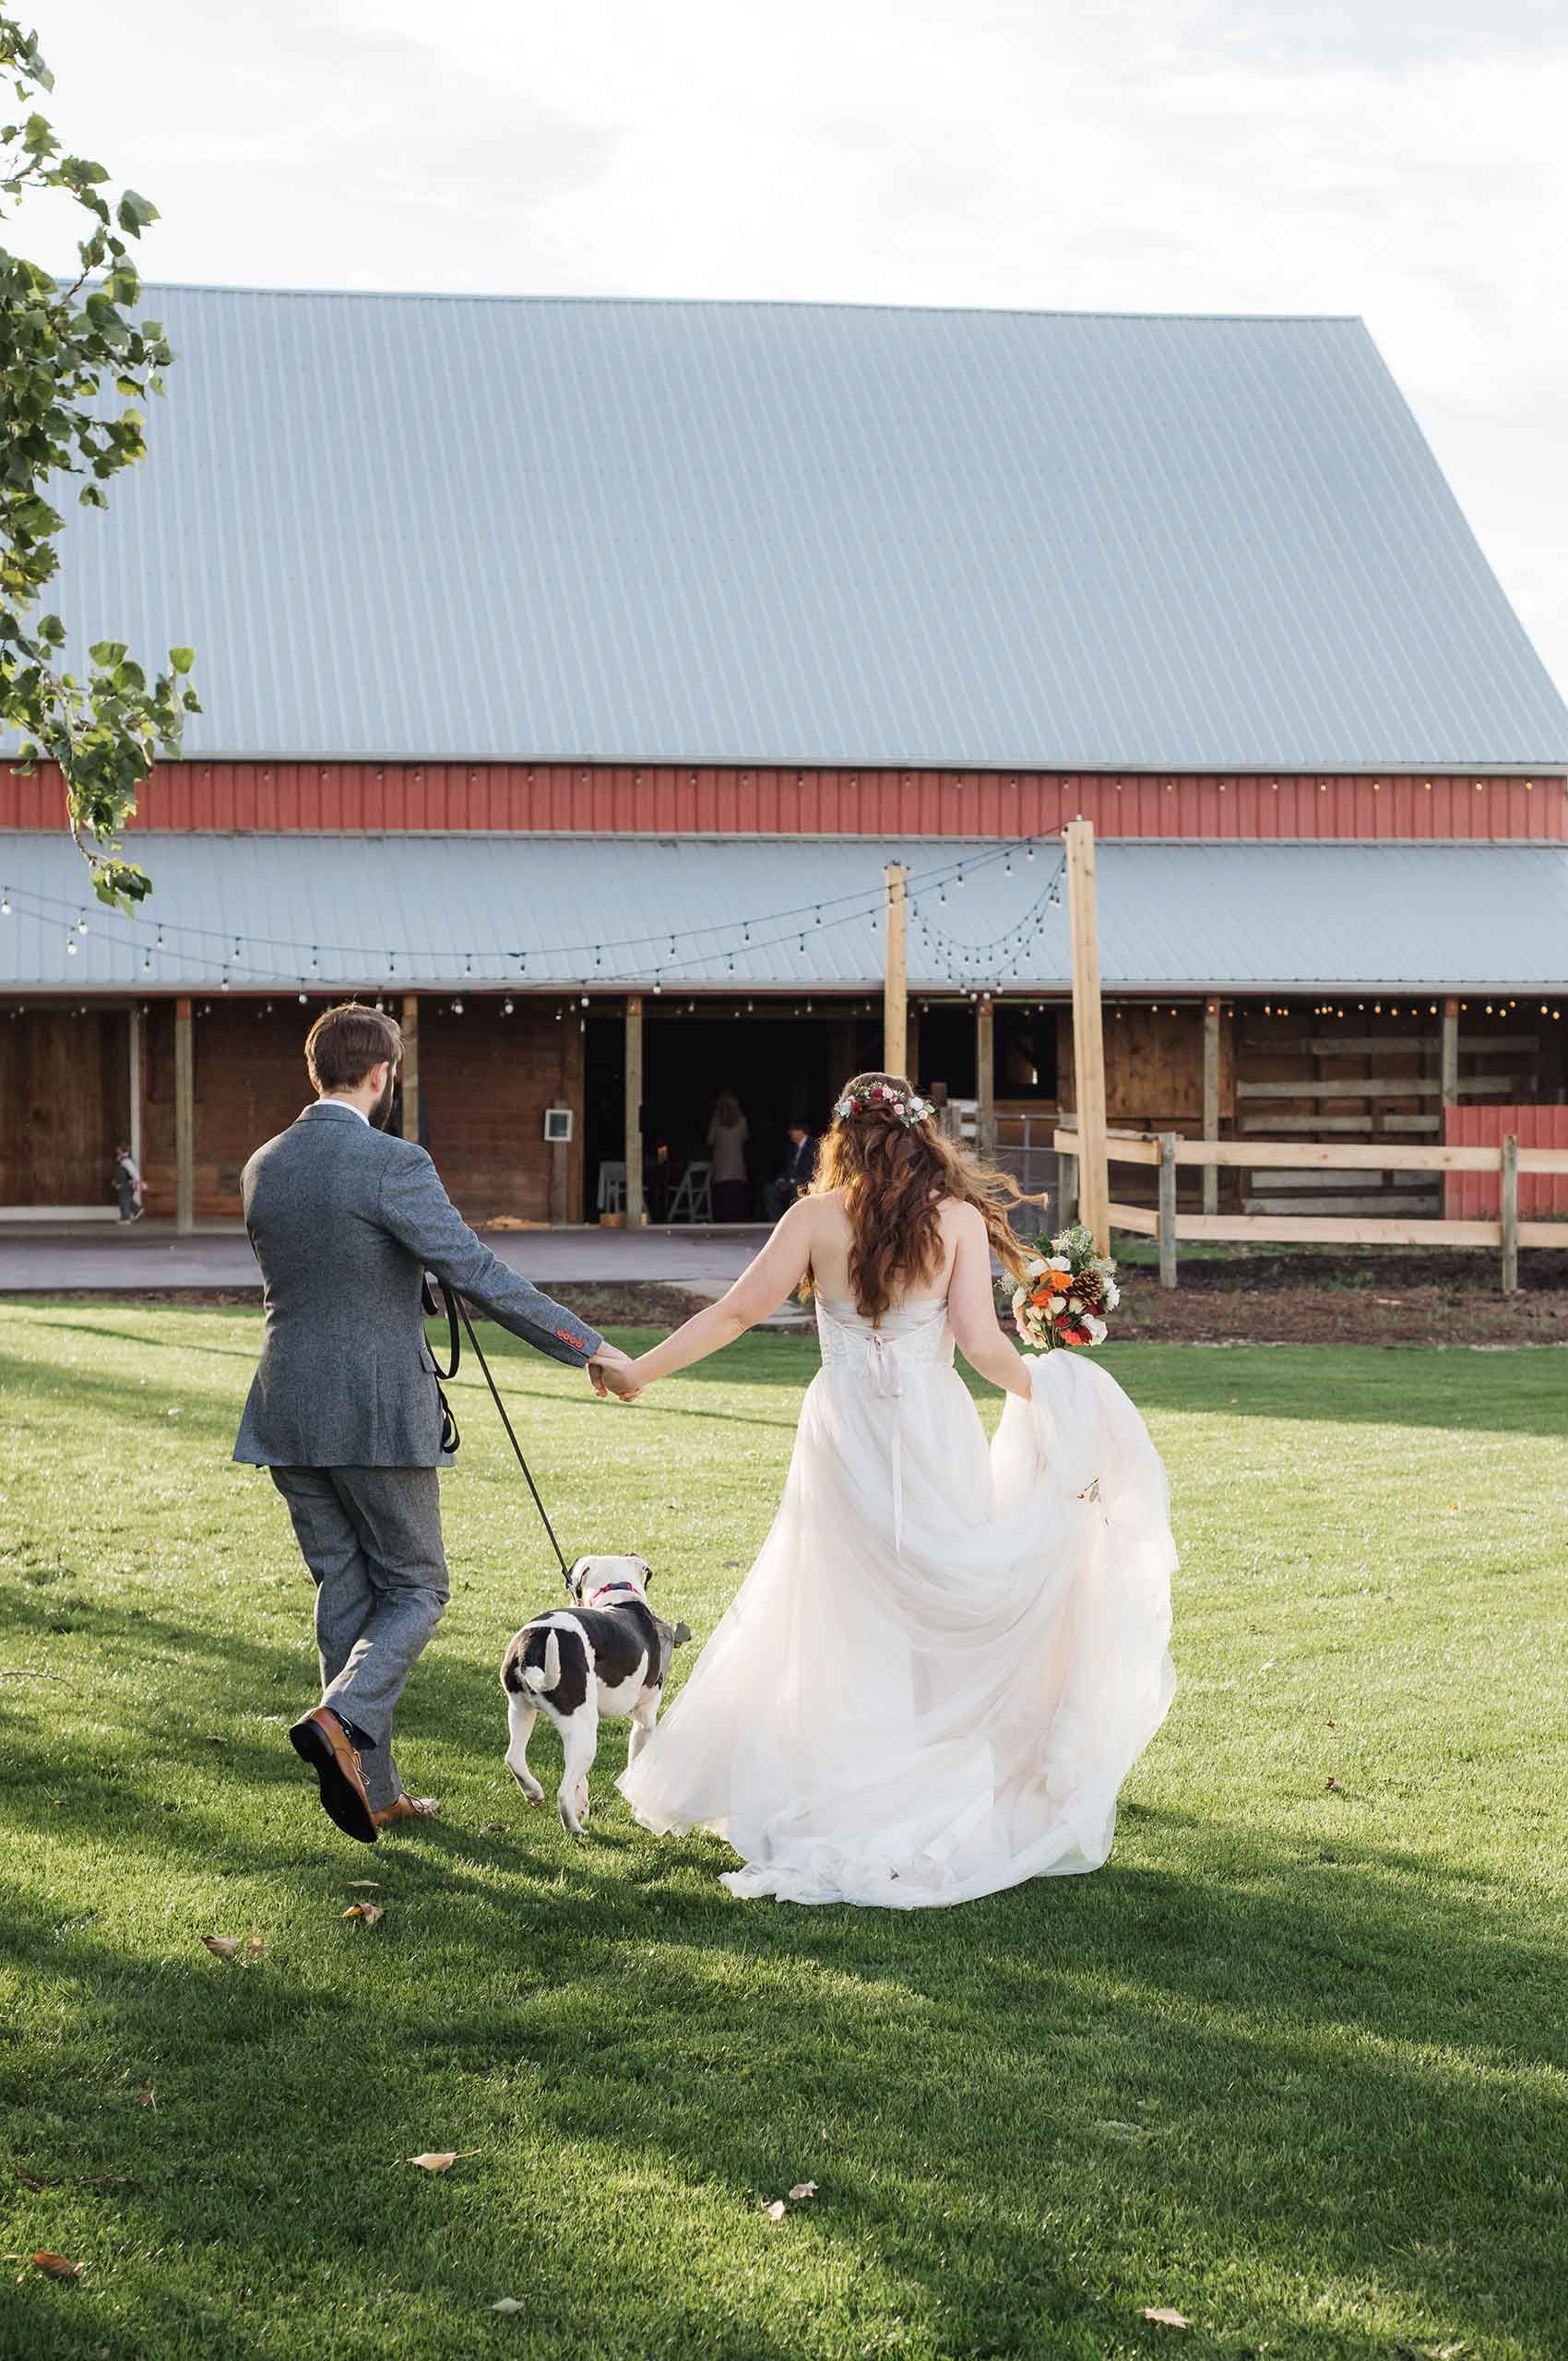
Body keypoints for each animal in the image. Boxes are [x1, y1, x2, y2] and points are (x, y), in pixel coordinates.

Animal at [498, 1558, 689, 1832]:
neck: (618, 1595)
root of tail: (533, 1643)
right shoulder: (644, 1723)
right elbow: (636, 1765)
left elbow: (582, 1781)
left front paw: (584, 1806)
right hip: (584, 1731)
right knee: (563, 1792)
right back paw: (575, 1829)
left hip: (523, 1712)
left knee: (514, 1758)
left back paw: (534, 1792)